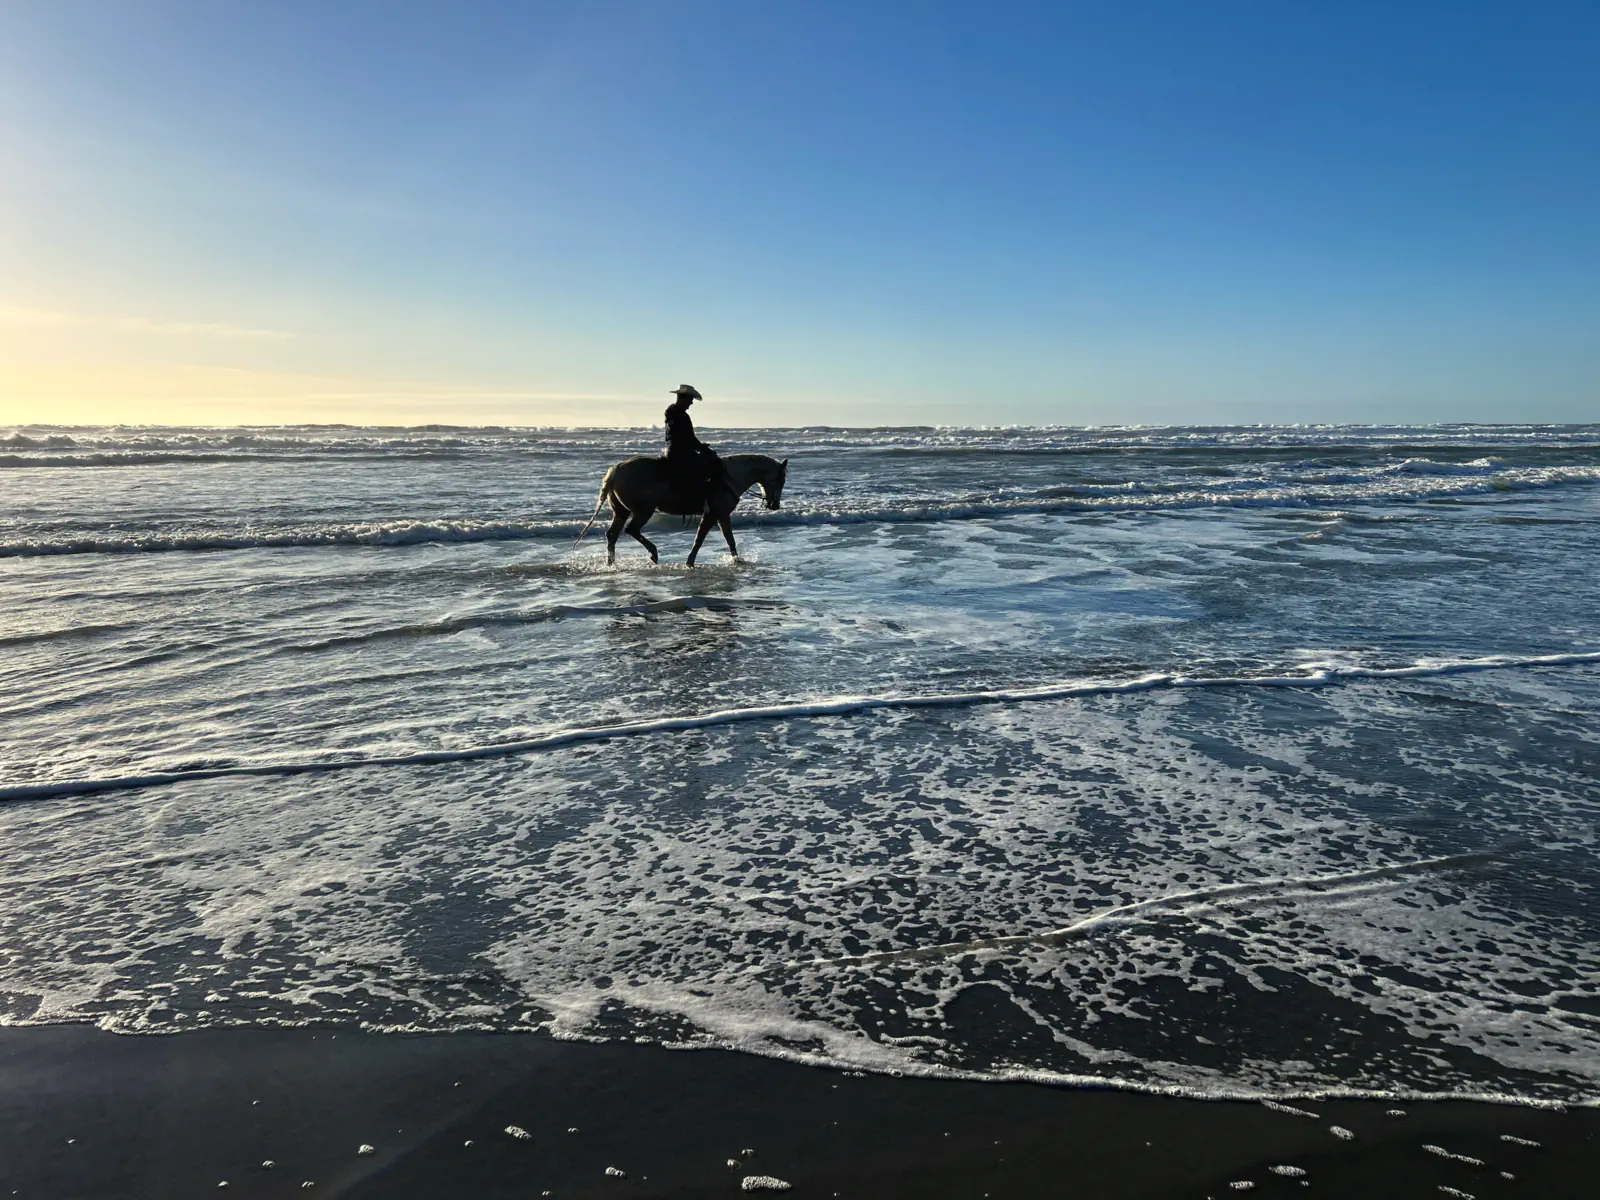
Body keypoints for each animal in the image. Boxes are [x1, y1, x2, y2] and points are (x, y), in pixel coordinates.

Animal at [578, 453, 789, 566]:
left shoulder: (718, 515)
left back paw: (612, 564)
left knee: (612, 535)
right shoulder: (715, 514)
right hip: (643, 511)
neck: (728, 477)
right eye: (781, 480)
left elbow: (726, 539)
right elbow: (705, 539)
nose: (774, 505)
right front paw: (691, 562)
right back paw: (653, 554)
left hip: (621, 511)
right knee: (632, 530)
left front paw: (736, 561)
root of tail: (616, 470)